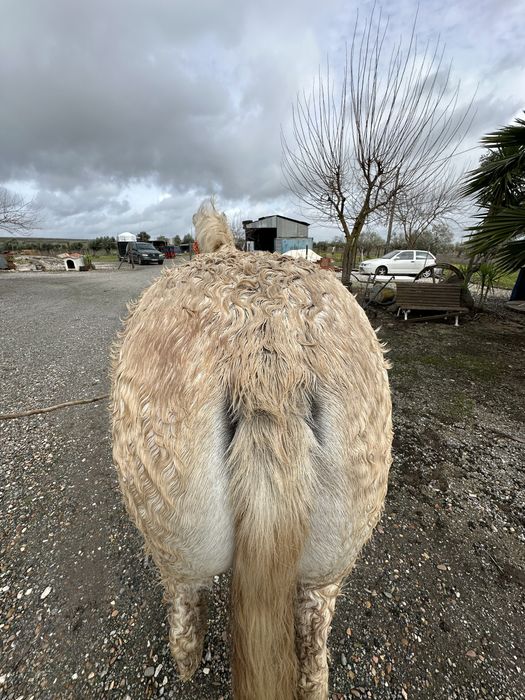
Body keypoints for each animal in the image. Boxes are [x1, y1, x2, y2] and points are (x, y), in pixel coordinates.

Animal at [111, 199, 392, 699]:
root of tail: (268, 364)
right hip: (334, 552)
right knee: (314, 636)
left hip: (176, 541)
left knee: (184, 608)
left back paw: (186, 663)